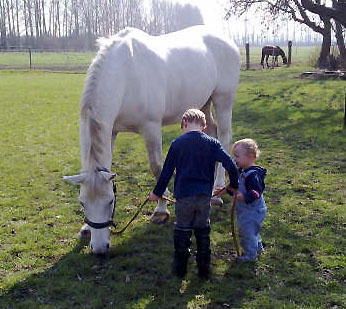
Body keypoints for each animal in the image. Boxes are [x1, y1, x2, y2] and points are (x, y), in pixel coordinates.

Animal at [63, 25, 239, 254]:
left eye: (110, 202)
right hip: (203, 103)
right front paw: (85, 228)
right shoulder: (111, 131)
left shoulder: (151, 128)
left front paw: (160, 210)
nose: (100, 248)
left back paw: (216, 194)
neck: (126, 75)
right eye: (82, 203)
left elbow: (158, 168)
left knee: (224, 139)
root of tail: (227, 40)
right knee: (213, 134)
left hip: (223, 101)